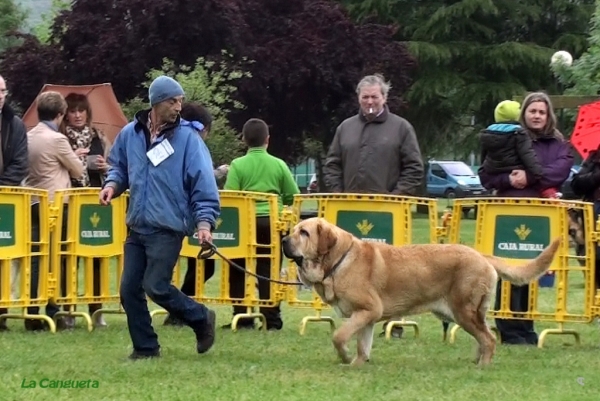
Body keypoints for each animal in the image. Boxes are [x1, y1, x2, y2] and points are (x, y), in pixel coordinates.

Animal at [282, 217, 564, 368]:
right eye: (293, 230)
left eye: (304, 233)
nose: (283, 240)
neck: (338, 259)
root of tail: (481, 256)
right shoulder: (367, 317)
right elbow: (364, 344)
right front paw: (359, 363)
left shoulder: (368, 311)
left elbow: (339, 336)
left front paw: (346, 357)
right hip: (473, 313)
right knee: (484, 337)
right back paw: (477, 360)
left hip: (464, 312)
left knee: (489, 339)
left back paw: (482, 366)